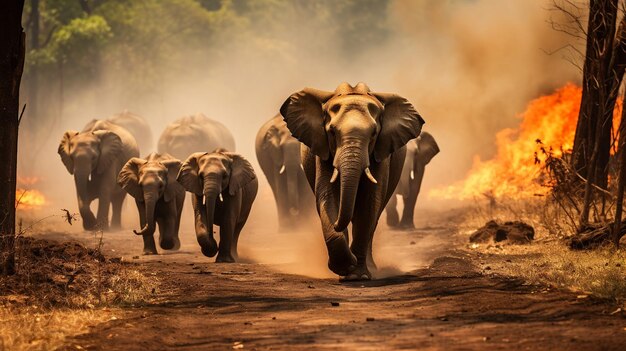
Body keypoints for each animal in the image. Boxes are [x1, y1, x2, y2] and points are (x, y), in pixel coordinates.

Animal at [282, 82, 424, 280]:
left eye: (373, 134)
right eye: (332, 132)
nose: (336, 224)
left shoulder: (380, 153)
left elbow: (369, 203)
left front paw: (357, 276)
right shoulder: (323, 151)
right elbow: (328, 197)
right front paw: (345, 269)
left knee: (374, 217)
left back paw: (370, 267)